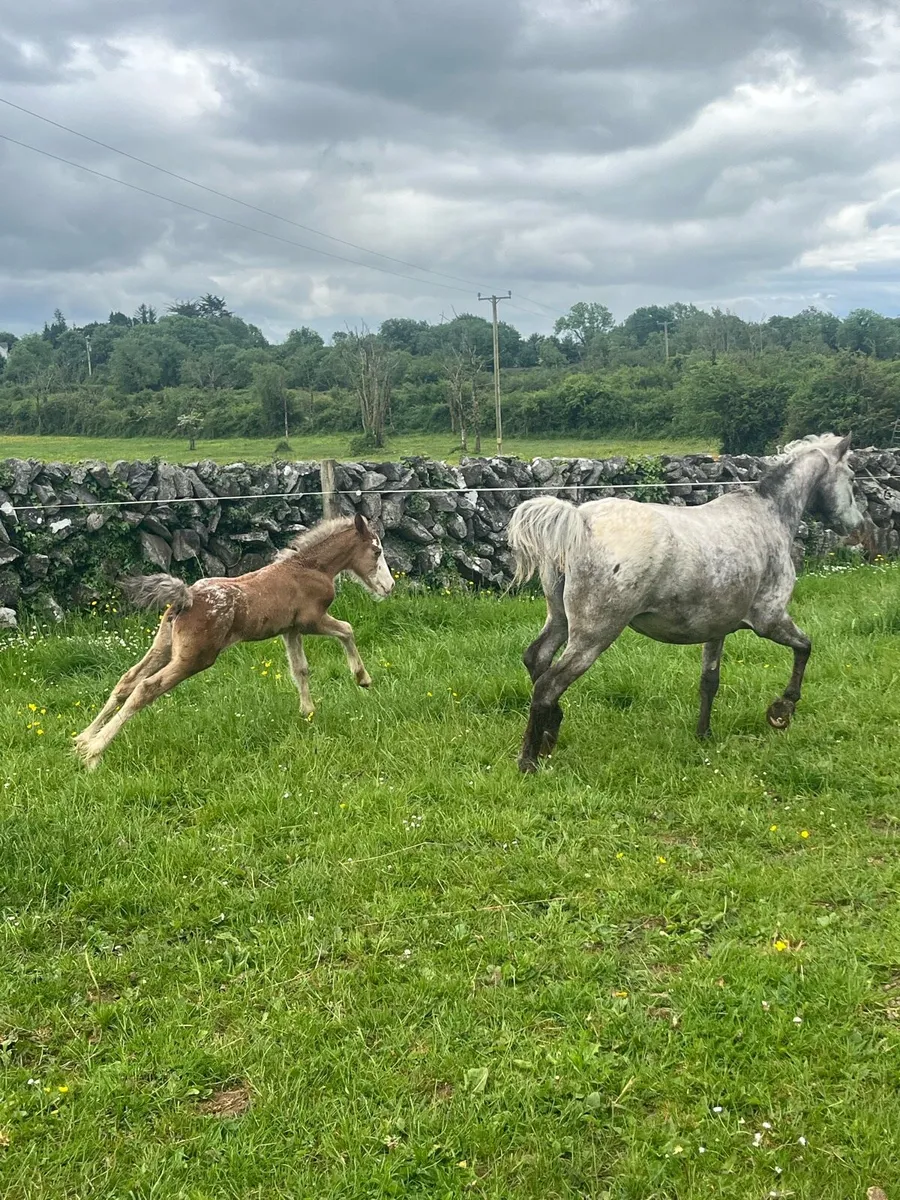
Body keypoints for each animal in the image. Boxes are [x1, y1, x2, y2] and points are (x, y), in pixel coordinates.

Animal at [74, 513, 394, 769]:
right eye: (376, 550)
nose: (390, 586)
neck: (310, 568)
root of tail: (186, 598)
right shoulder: (312, 620)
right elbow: (348, 630)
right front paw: (362, 678)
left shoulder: (290, 629)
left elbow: (300, 669)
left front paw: (308, 712)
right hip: (194, 658)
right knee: (146, 688)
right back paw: (94, 754)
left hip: (164, 647)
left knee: (127, 681)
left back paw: (82, 739)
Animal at [507, 433, 866, 773]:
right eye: (851, 475)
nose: (857, 525)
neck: (769, 516)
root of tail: (580, 520)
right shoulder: (770, 619)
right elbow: (805, 647)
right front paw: (782, 710)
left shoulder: (717, 630)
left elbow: (709, 682)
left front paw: (703, 734)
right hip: (594, 636)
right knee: (548, 685)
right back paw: (529, 761)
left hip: (560, 620)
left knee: (536, 660)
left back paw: (550, 733)